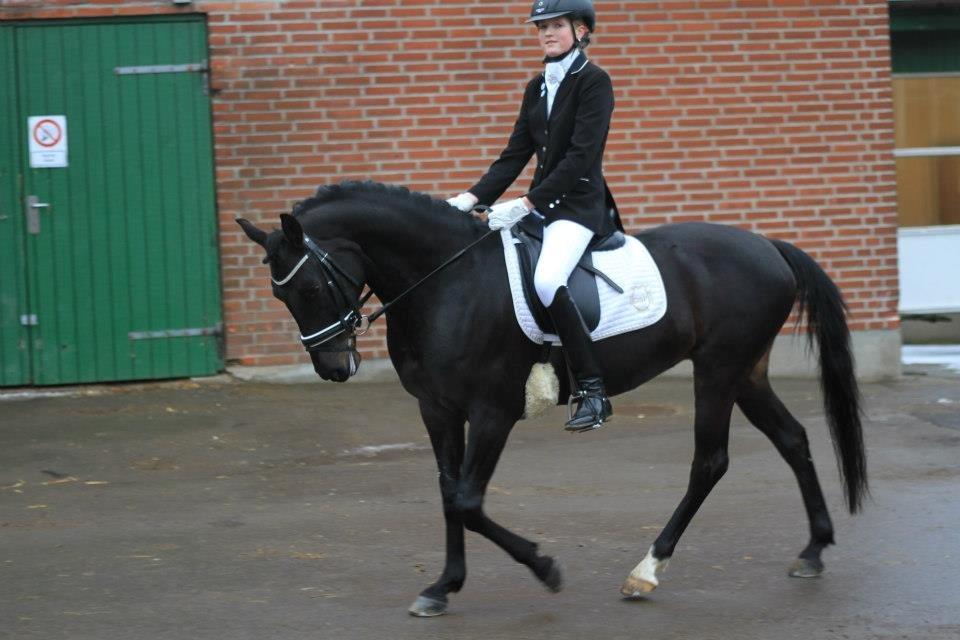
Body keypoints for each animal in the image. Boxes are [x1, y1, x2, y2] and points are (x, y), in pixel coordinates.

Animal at [236, 180, 867, 617]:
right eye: (281, 295)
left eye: (310, 286)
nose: (333, 367)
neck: (445, 284)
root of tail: (768, 246)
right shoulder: (437, 409)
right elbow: (447, 494)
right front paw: (442, 587)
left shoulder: (493, 411)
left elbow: (467, 500)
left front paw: (544, 567)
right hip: (746, 374)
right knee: (793, 438)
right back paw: (814, 549)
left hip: (717, 371)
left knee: (710, 462)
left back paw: (646, 570)